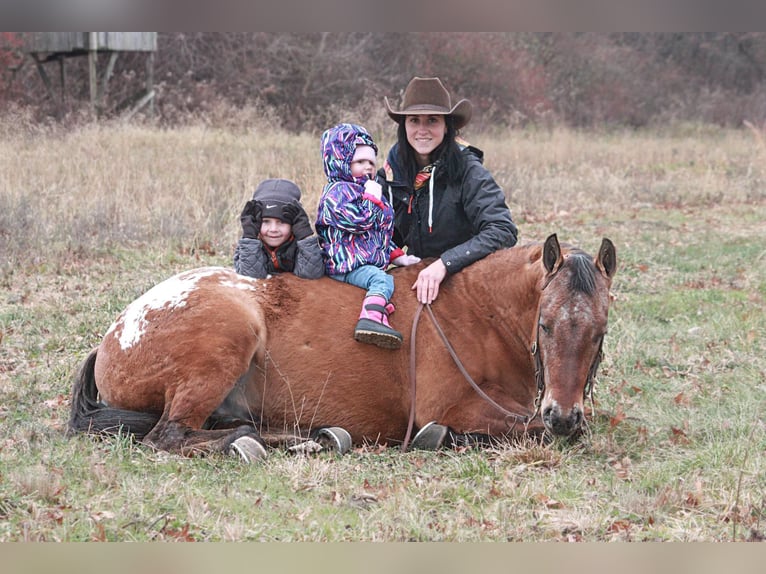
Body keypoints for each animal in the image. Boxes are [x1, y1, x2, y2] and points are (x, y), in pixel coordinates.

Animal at [66, 234, 616, 464]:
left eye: (599, 332)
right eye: (545, 325)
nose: (563, 415)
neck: (479, 313)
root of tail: (114, 335)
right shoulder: (455, 408)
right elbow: (524, 432)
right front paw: (441, 439)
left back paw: (311, 438)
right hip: (227, 339)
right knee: (168, 436)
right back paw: (248, 443)